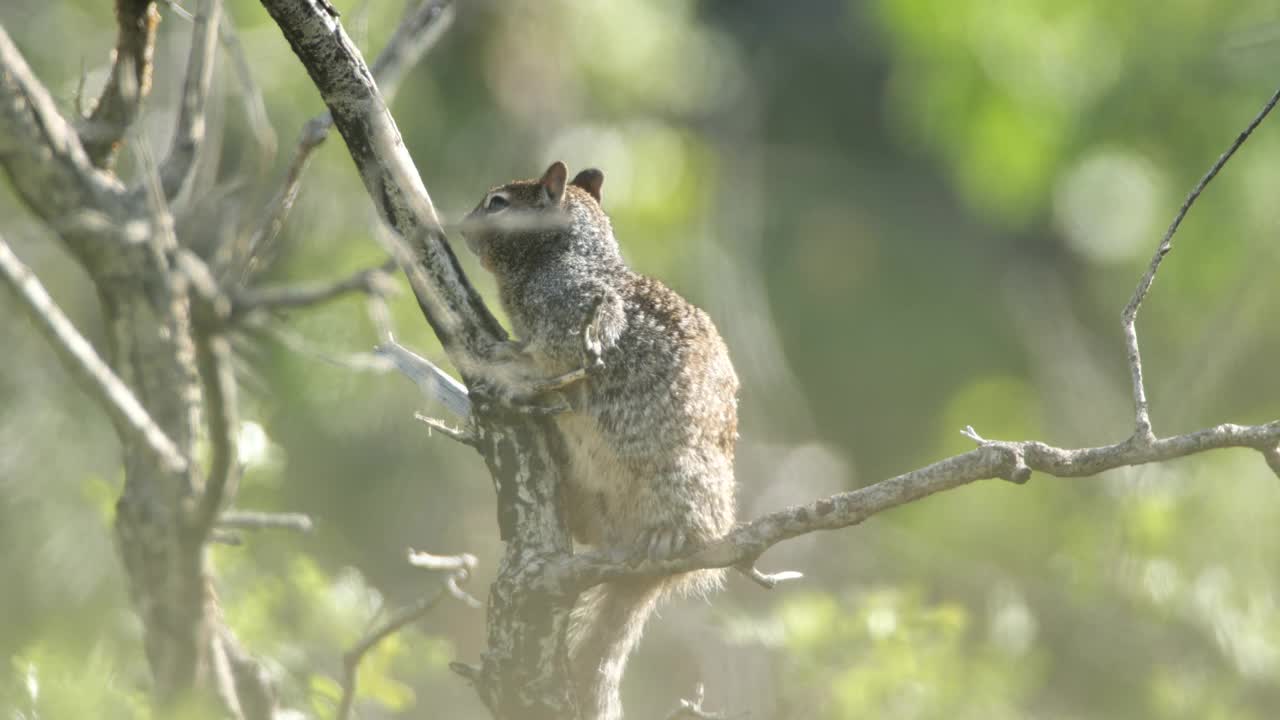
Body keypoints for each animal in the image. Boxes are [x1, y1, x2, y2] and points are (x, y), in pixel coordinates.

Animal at [460, 162, 742, 717]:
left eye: (498, 204)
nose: (460, 228)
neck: (562, 256)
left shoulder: (580, 317)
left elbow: (548, 358)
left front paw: (507, 364)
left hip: (683, 480)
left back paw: (669, 535)